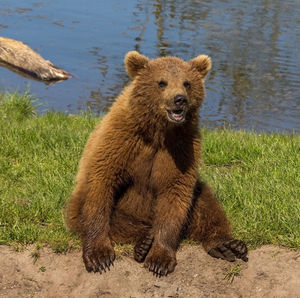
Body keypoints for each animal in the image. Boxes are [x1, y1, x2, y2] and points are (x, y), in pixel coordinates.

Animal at [65, 51, 248, 278]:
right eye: (162, 82)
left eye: (187, 83)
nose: (179, 99)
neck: (157, 131)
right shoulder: (122, 140)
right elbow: (102, 180)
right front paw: (99, 256)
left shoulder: (182, 148)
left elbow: (175, 194)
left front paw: (159, 259)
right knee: (118, 221)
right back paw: (143, 242)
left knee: (206, 203)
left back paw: (226, 245)